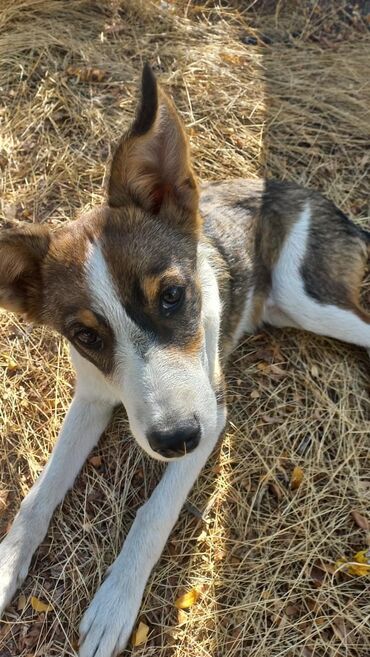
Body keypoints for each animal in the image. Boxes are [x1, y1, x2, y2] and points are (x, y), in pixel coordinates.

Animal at [0, 65, 370, 656]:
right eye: (85, 335)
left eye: (173, 296)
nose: (175, 440)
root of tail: (328, 204)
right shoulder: (93, 396)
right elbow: (39, 495)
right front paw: (10, 562)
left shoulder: (212, 415)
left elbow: (154, 513)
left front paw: (115, 603)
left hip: (307, 295)